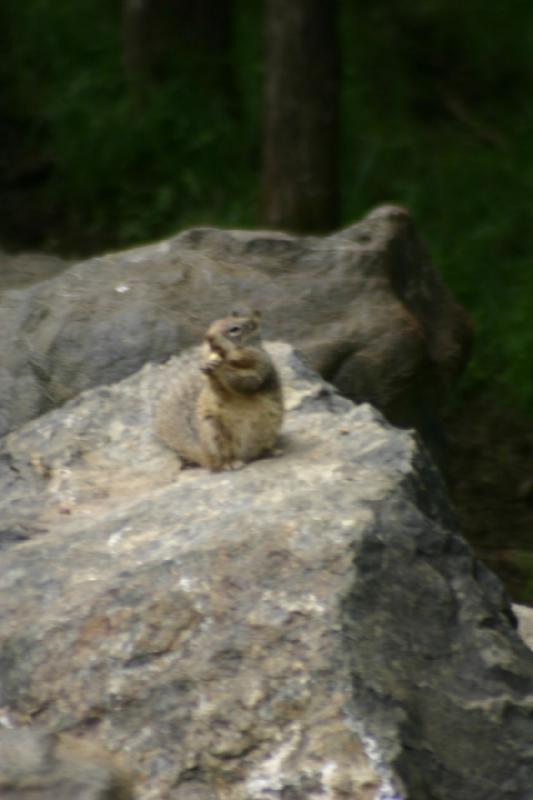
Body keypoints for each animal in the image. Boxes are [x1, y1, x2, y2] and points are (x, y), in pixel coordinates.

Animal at [154, 310, 282, 472]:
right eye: (213, 323)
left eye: (235, 329)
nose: (208, 337)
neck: (233, 361)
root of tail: (204, 456)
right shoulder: (214, 390)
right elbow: (217, 389)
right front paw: (208, 366)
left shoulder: (259, 369)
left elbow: (246, 383)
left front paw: (220, 367)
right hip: (214, 433)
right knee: (219, 462)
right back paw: (230, 463)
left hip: (268, 431)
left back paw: (271, 452)